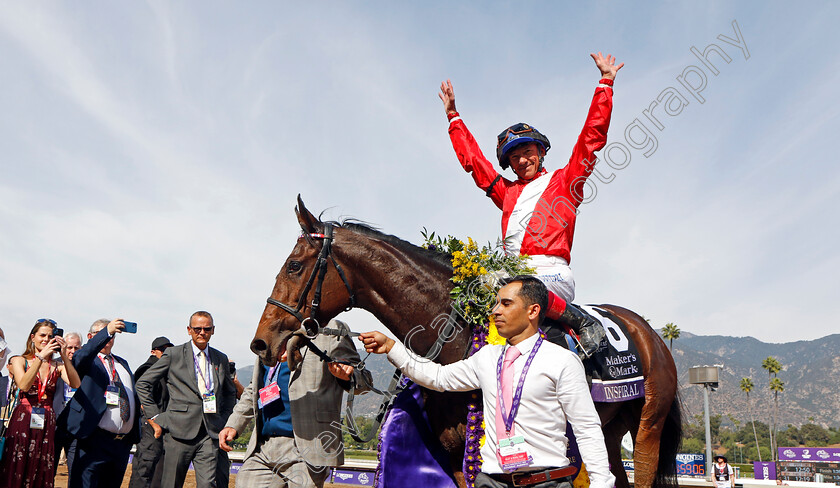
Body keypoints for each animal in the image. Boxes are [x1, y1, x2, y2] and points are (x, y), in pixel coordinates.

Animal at [251, 197, 684, 488]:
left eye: (294, 266)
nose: (261, 342)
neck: (455, 331)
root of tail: (650, 334)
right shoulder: (453, 454)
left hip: (648, 425)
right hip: (607, 431)